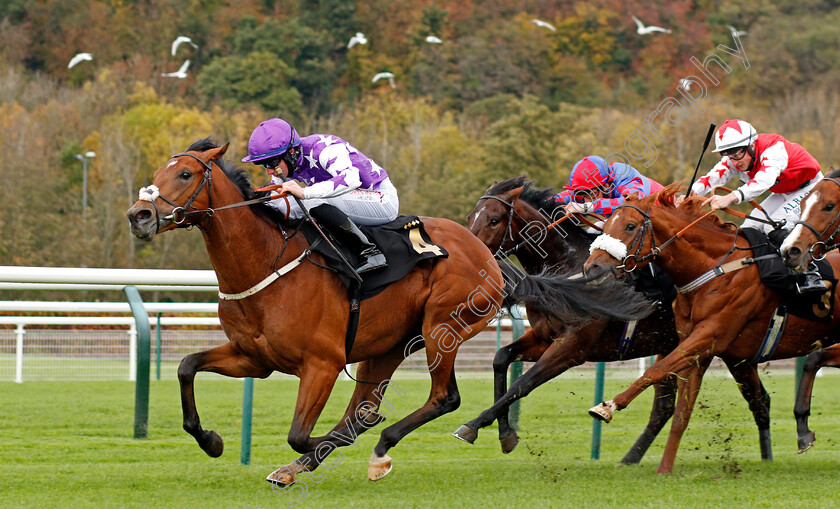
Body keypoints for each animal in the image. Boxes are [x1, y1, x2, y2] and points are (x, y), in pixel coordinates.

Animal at [124, 140, 648, 484]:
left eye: (185, 175)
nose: (139, 215)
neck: (268, 261)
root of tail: (486, 255)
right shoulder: (253, 357)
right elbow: (187, 366)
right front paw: (211, 439)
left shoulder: (323, 362)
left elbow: (300, 433)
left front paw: (314, 451)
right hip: (388, 345)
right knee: (371, 405)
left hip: (442, 327)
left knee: (441, 399)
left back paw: (384, 449)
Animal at [452, 176, 776, 464]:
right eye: (470, 216)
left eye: (494, 220)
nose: (470, 255)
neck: (567, 270)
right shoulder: (544, 337)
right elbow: (501, 359)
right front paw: (505, 433)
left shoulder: (573, 347)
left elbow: (523, 383)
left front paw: (473, 425)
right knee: (668, 407)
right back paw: (630, 458)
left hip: (724, 345)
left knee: (754, 399)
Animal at [580, 184, 840, 472]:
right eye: (605, 226)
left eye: (630, 226)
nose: (592, 268)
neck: (712, 267)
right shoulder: (697, 347)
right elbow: (682, 411)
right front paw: (665, 469)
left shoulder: (710, 335)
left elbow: (656, 371)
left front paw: (608, 406)